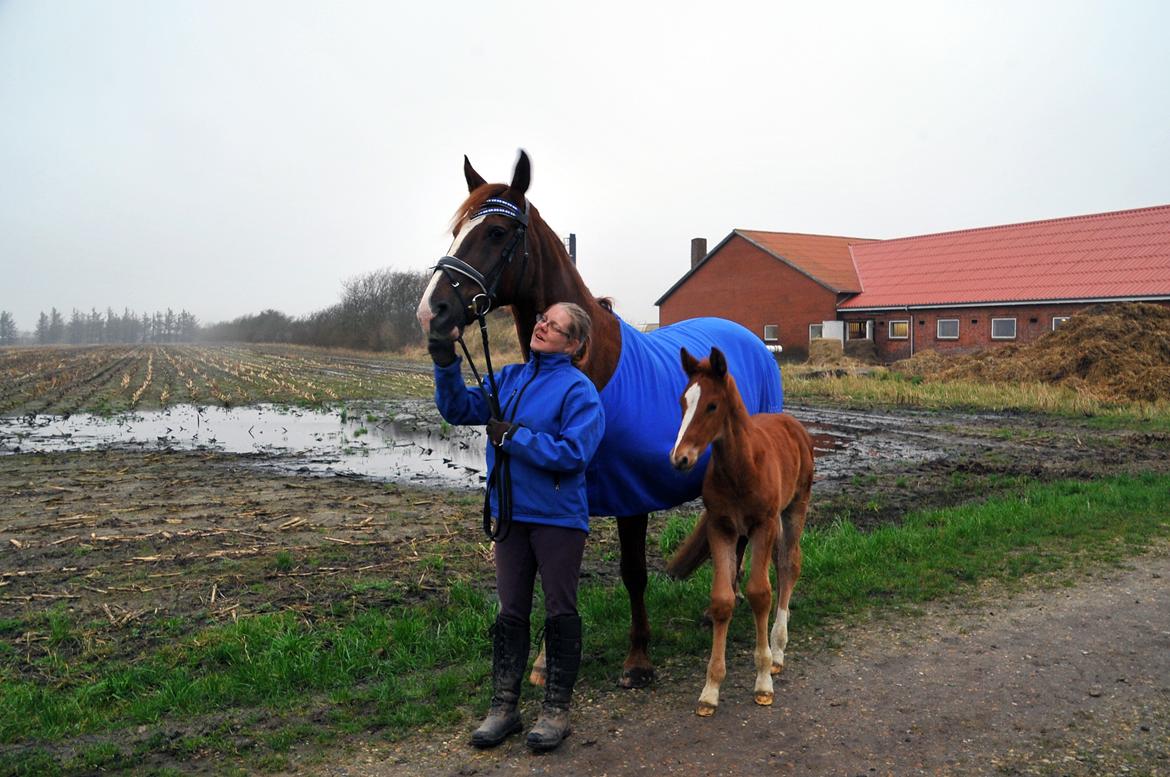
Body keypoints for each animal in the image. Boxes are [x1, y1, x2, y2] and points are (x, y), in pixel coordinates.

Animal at [416, 149, 781, 688]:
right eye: (459, 230)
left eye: (498, 232)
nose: (433, 312)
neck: (588, 364)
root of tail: (751, 339)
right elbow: (552, 572)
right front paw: (543, 661)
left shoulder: (632, 495)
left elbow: (633, 572)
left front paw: (638, 659)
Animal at [669, 346, 814, 716]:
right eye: (683, 401)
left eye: (712, 405)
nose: (679, 458)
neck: (741, 467)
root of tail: (791, 422)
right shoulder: (721, 527)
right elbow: (723, 599)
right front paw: (710, 689)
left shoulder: (763, 524)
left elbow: (761, 593)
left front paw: (762, 681)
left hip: (793, 509)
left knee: (789, 566)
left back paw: (778, 651)